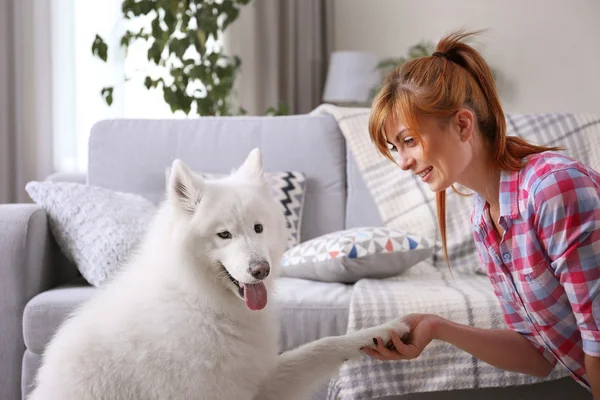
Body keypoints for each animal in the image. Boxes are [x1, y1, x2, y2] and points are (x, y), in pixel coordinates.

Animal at [30, 150, 410, 400]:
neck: (199, 300)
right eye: (224, 235)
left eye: (258, 228)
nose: (261, 269)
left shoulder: (257, 381)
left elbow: (325, 345)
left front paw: (386, 330)